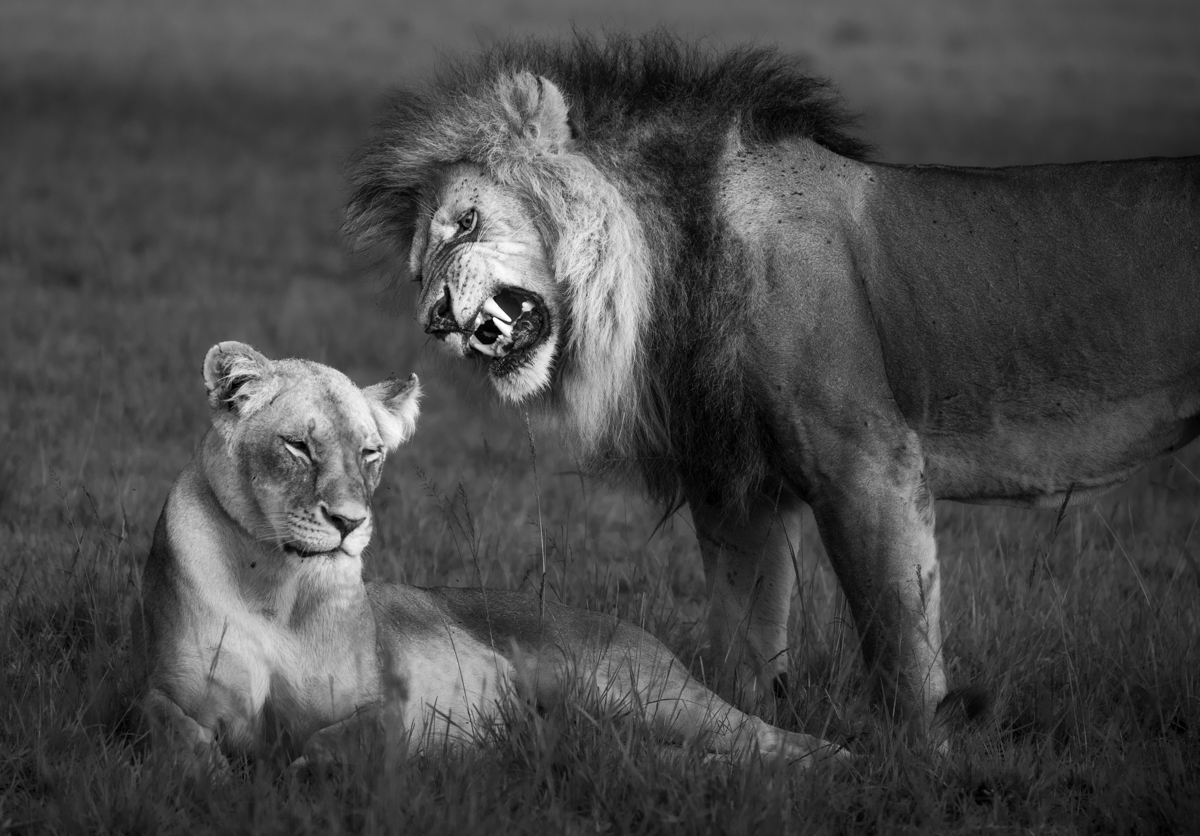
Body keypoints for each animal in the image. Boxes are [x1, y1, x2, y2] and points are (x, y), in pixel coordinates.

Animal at [133, 340, 841, 777]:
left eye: (370, 453)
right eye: (299, 447)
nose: (350, 524)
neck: (277, 587)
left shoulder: (413, 697)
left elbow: (362, 731)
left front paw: (308, 764)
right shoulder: (164, 690)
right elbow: (156, 720)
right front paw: (207, 770)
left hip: (642, 694)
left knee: (767, 735)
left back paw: (835, 764)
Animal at [343, 32, 1200, 747]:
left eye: (465, 222)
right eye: (416, 271)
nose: (434, 318)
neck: (670, 265)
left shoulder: (867, 463)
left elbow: (898, 651)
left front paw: (917, 765)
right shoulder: (737, 486)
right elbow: (743, 649)